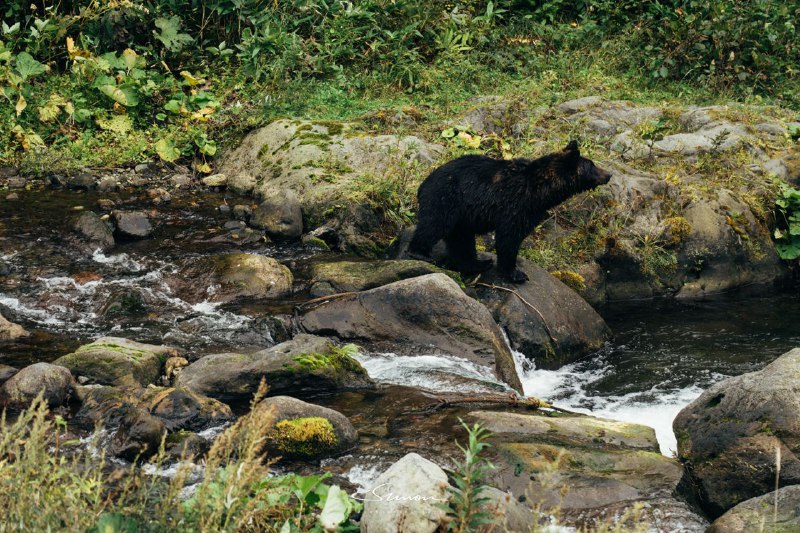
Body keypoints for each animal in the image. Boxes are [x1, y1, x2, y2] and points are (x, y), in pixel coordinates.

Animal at [409, 141, 612, 283]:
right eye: (592, 165)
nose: (609, 174)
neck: (540, 190)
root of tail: (423, 185)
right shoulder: (516, 206)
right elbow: (509, 238)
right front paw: (516, 273)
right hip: (446, 199)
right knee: (434, 225)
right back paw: (419, 252)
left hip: (461, 216)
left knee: (461, 239)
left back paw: (478, 263)